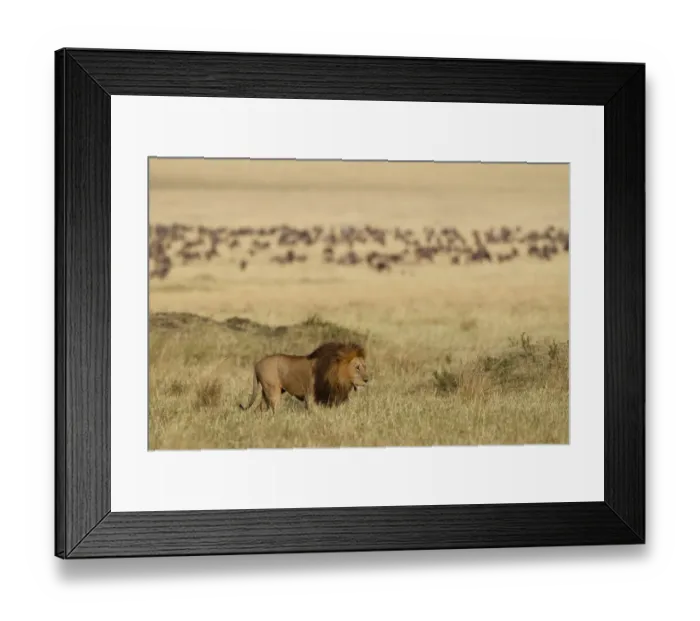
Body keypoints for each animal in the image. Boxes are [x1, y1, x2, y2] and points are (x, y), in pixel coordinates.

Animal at [239, 341, 369, 414]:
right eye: (357, 367)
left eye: (364, 366)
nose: (367, 380)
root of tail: (257, 364)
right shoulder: (310, 397)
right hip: (273, 391)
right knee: (274, 410)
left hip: (267, 393)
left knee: (258, 410)